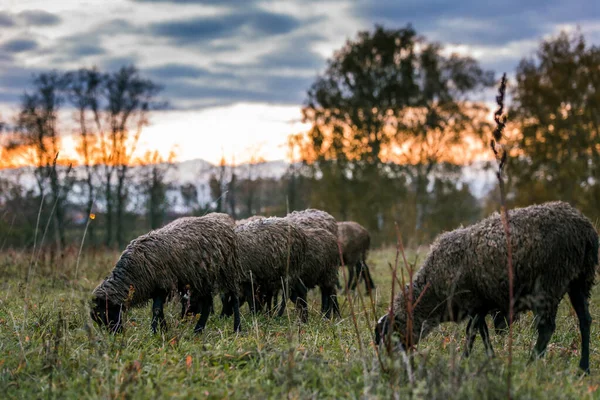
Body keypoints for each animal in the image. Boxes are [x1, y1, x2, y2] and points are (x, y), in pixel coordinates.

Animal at [90, 212, 243, 334]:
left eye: (105, 312)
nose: (115, 334)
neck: (132, 274)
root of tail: (224, 224)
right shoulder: (156, 288)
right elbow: (159, 310)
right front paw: (163, 329)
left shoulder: (163, 284)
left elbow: (157, 310)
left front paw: (154, 331)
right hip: (202, 279)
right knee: (207, 303)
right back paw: (198, 330)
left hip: (227, 271)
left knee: (234, 299)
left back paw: (237, 328)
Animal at [378, 203, 596, 376]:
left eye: (390, 335)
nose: (388, 368)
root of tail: (585, 230)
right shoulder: (480, 304)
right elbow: (481, 333)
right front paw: (490, 358)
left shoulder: (473, 303)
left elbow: (472, 333)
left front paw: (464, 362)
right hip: (580, 281)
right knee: (585, 321)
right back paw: (583, 369)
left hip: (549, 284)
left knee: (546, 328)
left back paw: (529, 366)